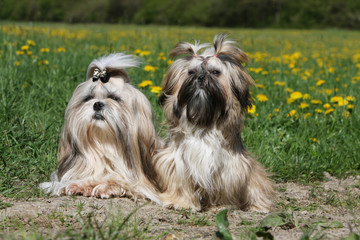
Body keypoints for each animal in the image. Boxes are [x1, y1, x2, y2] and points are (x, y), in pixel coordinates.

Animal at [39, 53, 162, 203]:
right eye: (88, 98)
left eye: (114, 98)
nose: (97, 104)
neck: (105, 143)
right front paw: (80, 185)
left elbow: (123, 181)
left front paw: (106, 186)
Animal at [153, 34, 274, 211]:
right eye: (191, 72)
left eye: (215, 72)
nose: (200, 77)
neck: (203, 123)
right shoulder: (177, 161)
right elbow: (180, 181)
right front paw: (180, 202)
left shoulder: (230, 167)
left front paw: (221, 206)